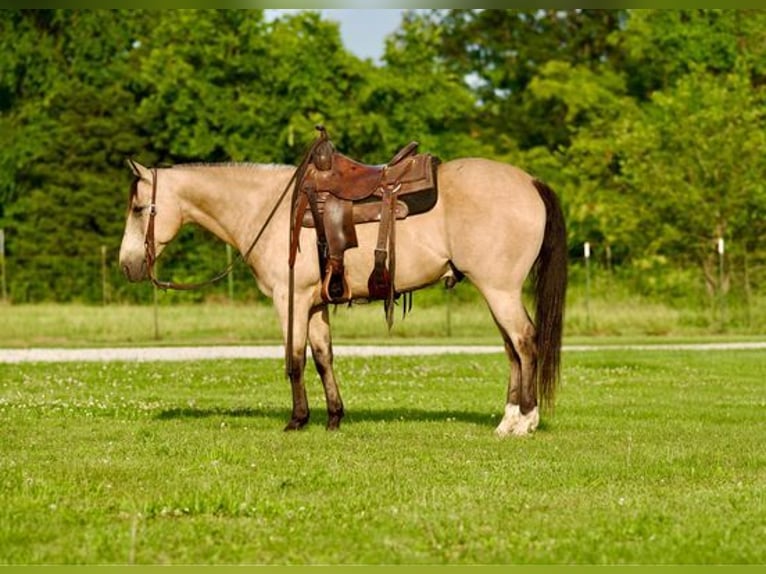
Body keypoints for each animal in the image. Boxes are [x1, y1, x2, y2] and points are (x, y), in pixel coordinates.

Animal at [119, 156, 567, 437]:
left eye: (139, 208)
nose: (127, 266)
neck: (271, 210)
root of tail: (530, 182)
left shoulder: (290, 300)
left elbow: (295, 360)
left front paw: (297, 420)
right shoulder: (316, 304)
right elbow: (323, 358)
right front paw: (333, 418)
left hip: (500, 290)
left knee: (525, 342)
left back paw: (525, 421)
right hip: (496, 292)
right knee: (512, 349)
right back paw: (507, 420)